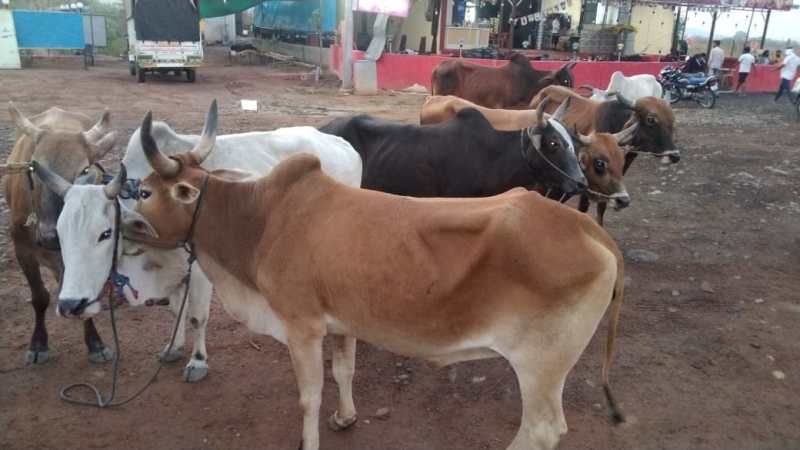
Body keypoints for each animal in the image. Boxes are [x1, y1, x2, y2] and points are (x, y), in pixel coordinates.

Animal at [2, 103, 116, 364]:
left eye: (84, 169)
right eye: (34, 167)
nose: (50, 236)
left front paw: (95, 343)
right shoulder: (22, 249)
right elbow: (39, 297)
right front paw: (38, 344)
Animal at [33, 100, 363, 383]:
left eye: (105, 233)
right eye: (60, 233)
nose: (71, 304)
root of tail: (342, 144)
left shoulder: (201, 272)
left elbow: (196, 316)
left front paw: (198, 362)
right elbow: (175, 311)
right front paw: (173, 347)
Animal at [113, 108, 627, 450]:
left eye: (144, 191)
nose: (125, 226)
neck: (261, 218)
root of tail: (589, 229)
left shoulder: (302, 326)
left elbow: (309, 396)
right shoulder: (342, 323)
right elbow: (344, 372)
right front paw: (345, 418)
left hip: (541, 367)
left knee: (542, 430)